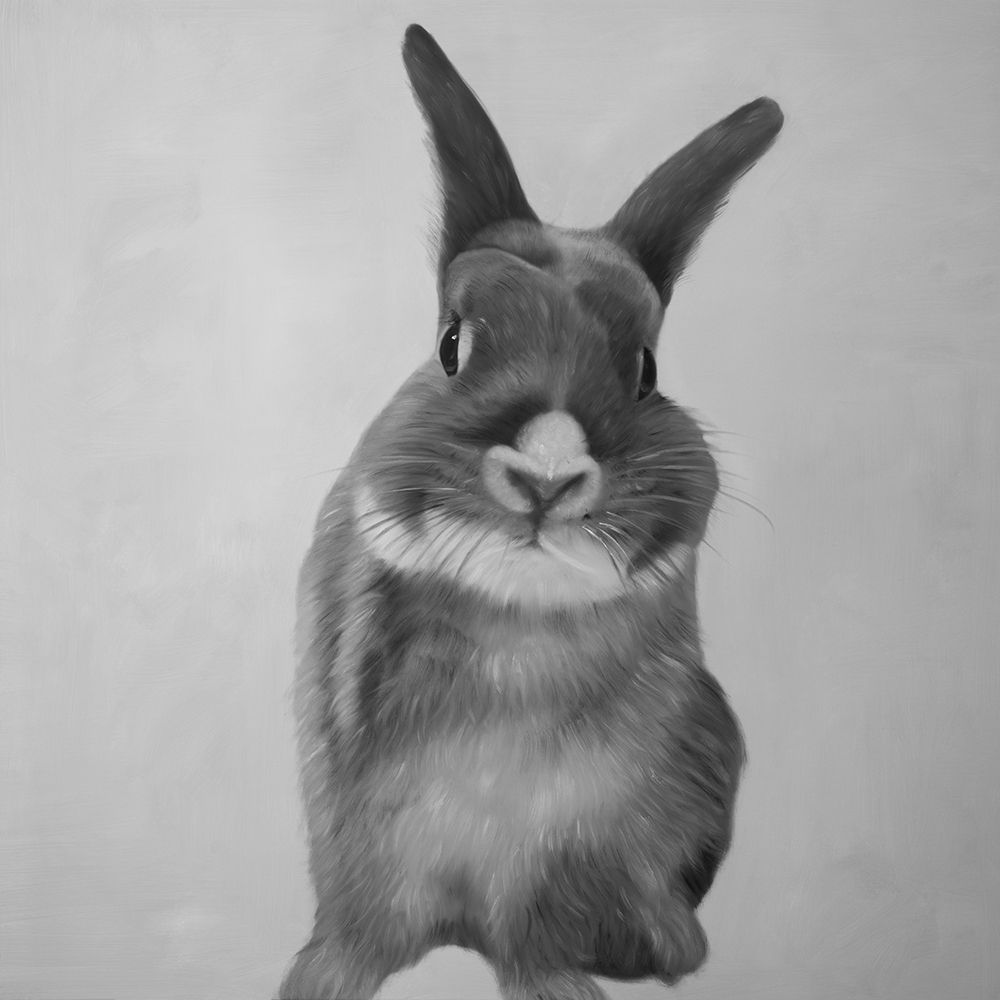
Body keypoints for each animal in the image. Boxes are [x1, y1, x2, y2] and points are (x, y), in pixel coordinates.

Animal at [279, 23, 783, 1000]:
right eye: (451, 343)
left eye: (646, 371)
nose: (548, 475)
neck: (517, 627)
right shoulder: (360, 840)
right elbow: (360, 931)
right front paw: (318, 981)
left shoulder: (556, 861)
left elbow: (533, 941)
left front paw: (562, 986)